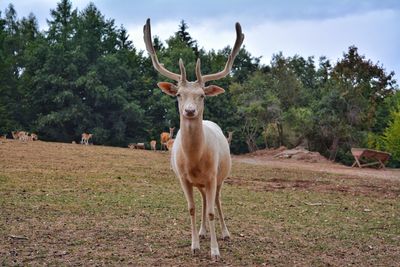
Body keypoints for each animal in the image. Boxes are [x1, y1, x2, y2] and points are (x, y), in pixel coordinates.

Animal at [144, 18, 244, 262]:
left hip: (220, 177)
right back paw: (202, 232)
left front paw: (215, 251)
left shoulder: (212, 176)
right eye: (179, 94)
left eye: (202, 95)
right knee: (204, 200)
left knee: (216, 201)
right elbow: (192, 208)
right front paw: (195, 246)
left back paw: (225, 233)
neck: (195, 160)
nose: (189, 111)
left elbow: (211, 211)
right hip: (200, 184)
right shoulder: (183, 178)